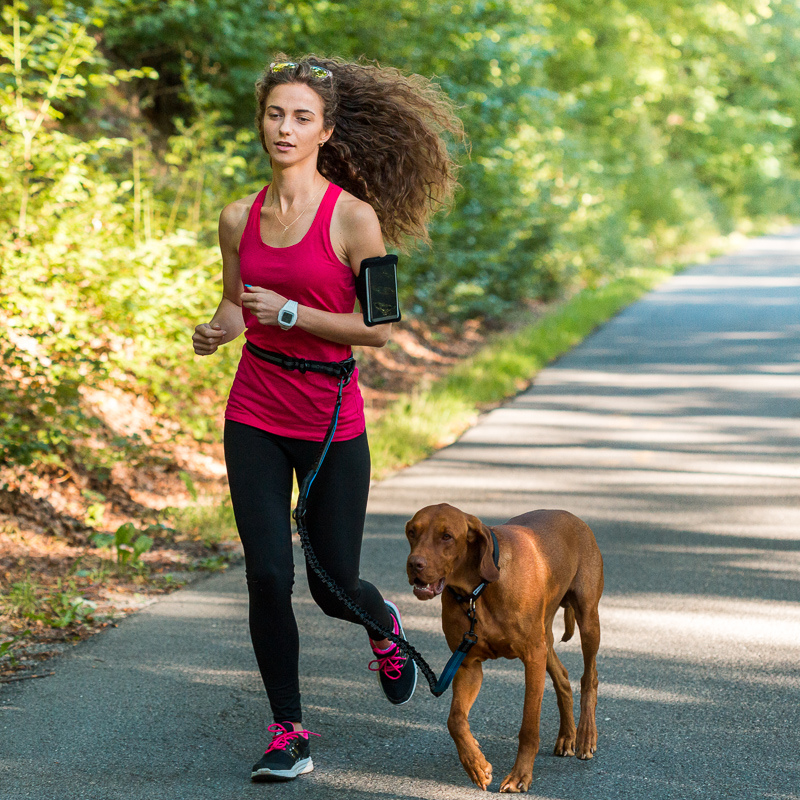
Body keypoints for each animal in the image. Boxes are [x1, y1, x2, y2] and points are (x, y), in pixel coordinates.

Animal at [404, 504, 604, 792]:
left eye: (447, 536)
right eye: (412, 532)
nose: (414, 564)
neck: (478, 591)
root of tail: (573, 517)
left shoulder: (532, 657)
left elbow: (529, 727)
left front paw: (520, 776)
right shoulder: (468, 664)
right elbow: (455, 720)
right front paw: (476, 764)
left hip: (587, 619)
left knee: (590, 677)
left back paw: (586, 736)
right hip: (545, 638)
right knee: (563, 678)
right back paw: (568, 736)